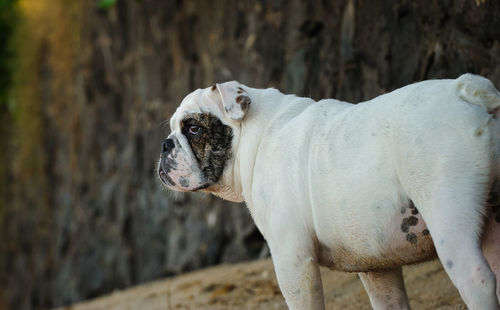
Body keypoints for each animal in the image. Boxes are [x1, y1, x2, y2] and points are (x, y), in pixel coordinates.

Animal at [158, 74, 500, 308]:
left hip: (449, 219)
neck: (255, 136)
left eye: (194, 129)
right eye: (174, 128)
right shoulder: (377, 265)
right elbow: (390, 301)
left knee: (477, 277)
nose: (165, 144)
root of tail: (468, 90)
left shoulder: (293, 259)